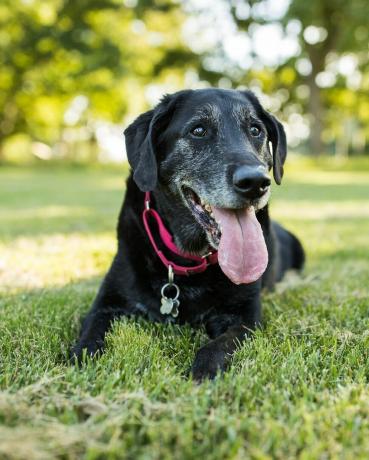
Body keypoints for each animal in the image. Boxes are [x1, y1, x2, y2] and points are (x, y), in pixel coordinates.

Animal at [72, 88, 304, 380]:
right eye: (198, 130)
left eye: (255, 130)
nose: (255, 183)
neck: (187, 259)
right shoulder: (106, 303)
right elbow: (90, 335)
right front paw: (82, 358)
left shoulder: (246, 318)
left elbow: (217, 345)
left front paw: (203, 372)